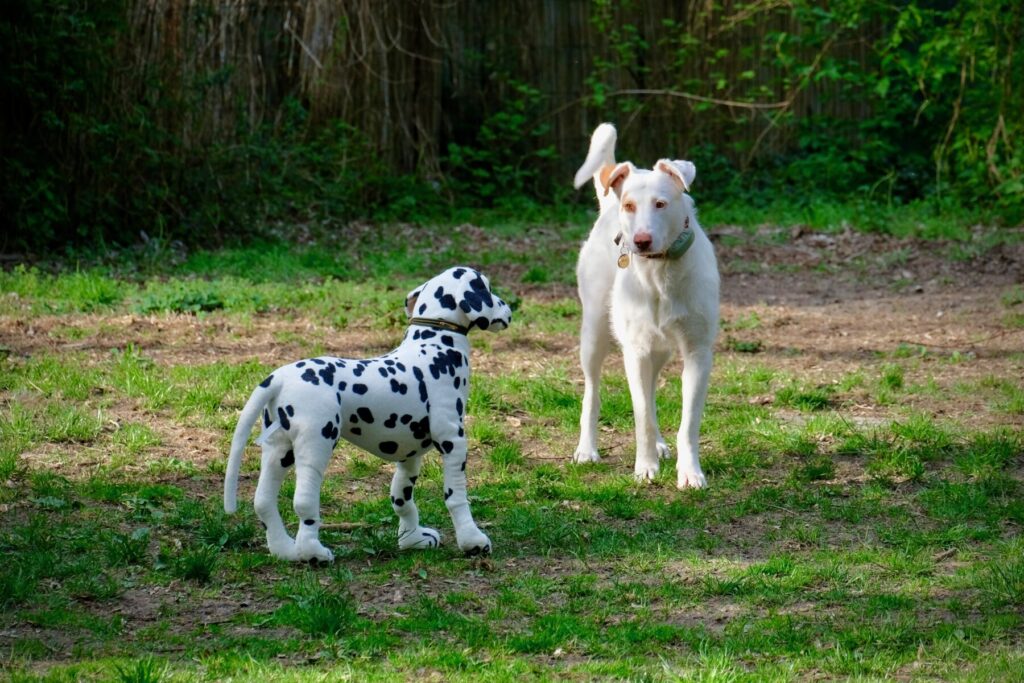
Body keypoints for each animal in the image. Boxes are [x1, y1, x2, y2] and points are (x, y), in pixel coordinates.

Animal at [569, 122, 720, 485]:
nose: (640, 241)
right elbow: (642, 419)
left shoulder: (697, 352)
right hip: (595, 333)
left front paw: (689, 472)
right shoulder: (635, 351)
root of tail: (607, 202)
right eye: (631, 206)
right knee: (592, 393)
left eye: (661, 204)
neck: (660, 271)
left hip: (660, 349)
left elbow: (688, 423)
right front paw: (645, 467)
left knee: (651, 392)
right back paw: (587, 449)